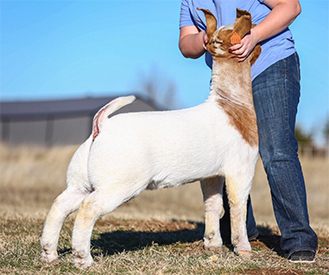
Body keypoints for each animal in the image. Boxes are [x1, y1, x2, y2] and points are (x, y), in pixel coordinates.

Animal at [41, 9, 260, 270]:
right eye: (250, 32)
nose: (261, 39)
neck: (231, 104)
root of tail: (102, 125)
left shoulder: (211, 176)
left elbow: (213, 206)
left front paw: (213, 244)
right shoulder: (241, 169)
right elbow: (238, 207)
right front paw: (243, 249)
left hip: (79, 183)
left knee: (59, 206)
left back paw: (49, 254)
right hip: (119, 185)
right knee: (87, 209)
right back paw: (83, 258)